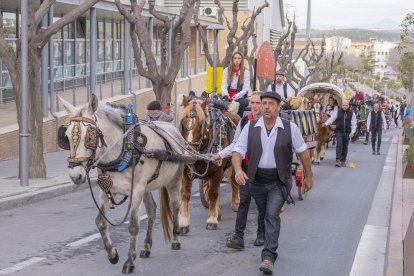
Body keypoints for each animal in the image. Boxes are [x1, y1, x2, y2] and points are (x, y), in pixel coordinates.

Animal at [59, 95, 184, 274]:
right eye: (67, 137)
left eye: (89, 137)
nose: (76, 175)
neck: (122, 148)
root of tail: (174, 130)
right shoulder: (106, 189)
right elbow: (100, 221)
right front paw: (112, 254)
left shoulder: (136, 189)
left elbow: (133, 225)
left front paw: (129, 262)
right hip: (147, 187)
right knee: (152, 210)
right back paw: (146, 247)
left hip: (173, 181)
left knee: (175, 206)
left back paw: (176, 239)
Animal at [179, 96, 243, 232]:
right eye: (182, 123)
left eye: (201, 124)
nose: (188, 153)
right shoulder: (186, 172)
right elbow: (185, 194)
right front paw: (183, 223)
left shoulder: (217, 172)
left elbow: (213, 194)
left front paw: (212, 220)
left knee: (233, 181)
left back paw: (236, 202)